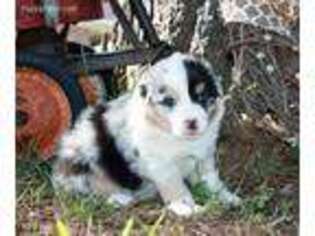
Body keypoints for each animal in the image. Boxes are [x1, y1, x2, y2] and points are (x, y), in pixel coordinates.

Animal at [53, 52, 241, 217]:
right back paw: (118, 198)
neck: (176, 136)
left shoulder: (204, 156)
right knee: (86, 189)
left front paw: (228, 197)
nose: (191, 122)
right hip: (84, 155)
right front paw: (184, 207)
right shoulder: (161, 164)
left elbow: (211, 180)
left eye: (201, 97)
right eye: (169, 101)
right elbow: (175, 186)